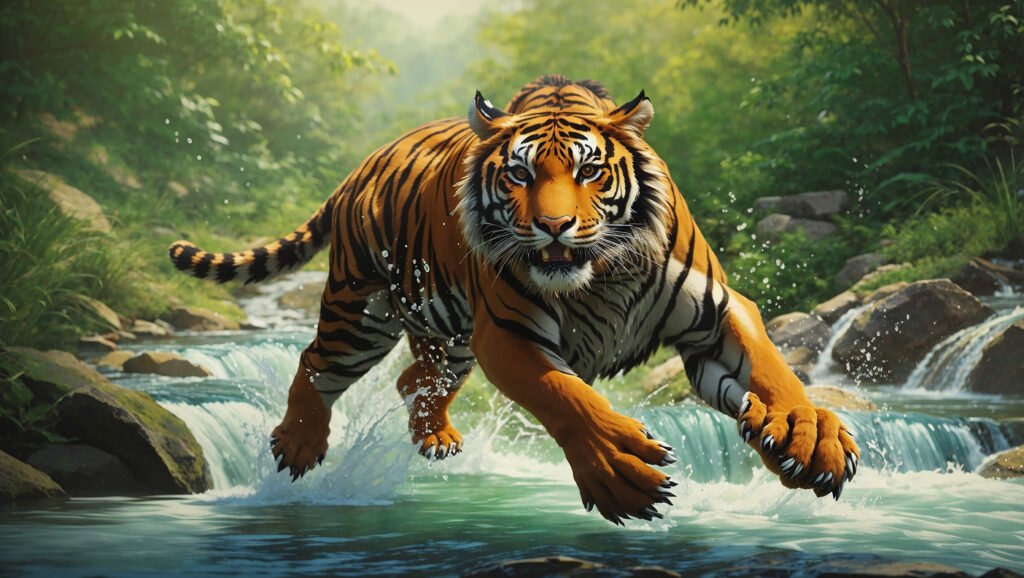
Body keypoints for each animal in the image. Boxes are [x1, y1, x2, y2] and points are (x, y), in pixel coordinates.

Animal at [169, 75, 859, 524]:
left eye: (589, 172)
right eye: (520, 174)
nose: (553, 227)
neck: (602, 274)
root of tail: (358, 168)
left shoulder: (717, 313)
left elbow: (772, 372)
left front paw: (805, 439)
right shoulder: (507, 334)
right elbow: (567, 398)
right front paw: (621, 472)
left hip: (448, 334)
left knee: (415, 379)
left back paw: (436, 438)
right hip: (363, 311)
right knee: (316, 364)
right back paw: (299, 445)